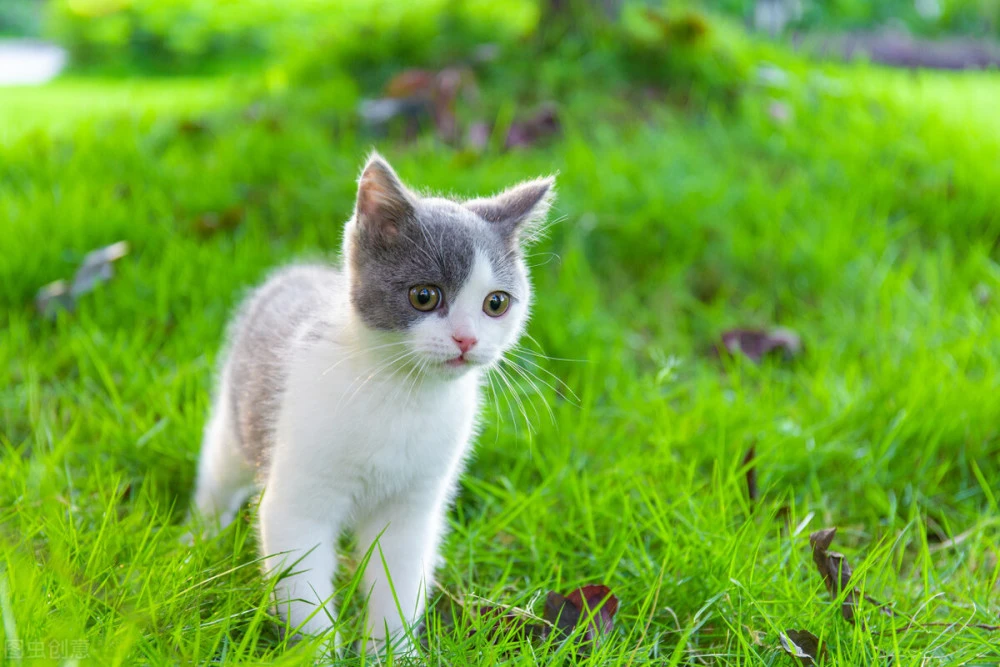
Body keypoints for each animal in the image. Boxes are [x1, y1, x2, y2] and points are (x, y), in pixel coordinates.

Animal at [189, 153, 556, 652]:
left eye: (496, 303)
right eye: (424, 296)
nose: (466, 339)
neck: (402, 396)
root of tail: (300, 272)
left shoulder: (414, 507)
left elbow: (398, 578)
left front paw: (393, 651)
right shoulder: (297, 502)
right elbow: (303, 589)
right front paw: (318, 652)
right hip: (235, 416)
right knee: (218, 473)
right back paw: (198, 539)